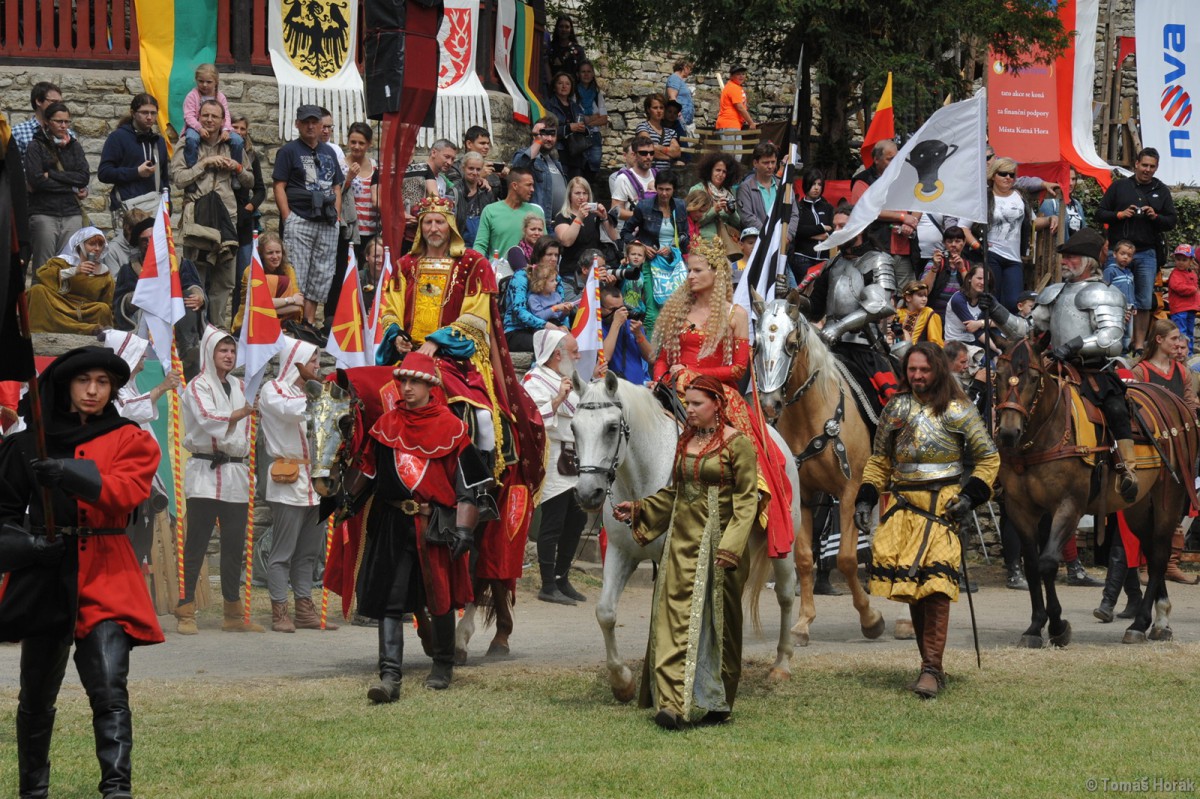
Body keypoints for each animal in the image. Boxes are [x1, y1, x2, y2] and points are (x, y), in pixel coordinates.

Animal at [572, 371, 799, 703]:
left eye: (612, 427)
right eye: (573, 428)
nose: (588, 493)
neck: (643, 475)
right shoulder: (620, 551)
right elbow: (605, 612)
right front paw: (622, 682)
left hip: (783, 543)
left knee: (785, 593)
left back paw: (781, 664)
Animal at [751, 293, 885, 645]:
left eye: (791, 343)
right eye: (756, 344)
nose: (769, 404)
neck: (813, 416)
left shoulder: (851, 491)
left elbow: (847, 560)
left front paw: (871, 619)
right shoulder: (804, 497)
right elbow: (804, 559)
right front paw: (802, 624)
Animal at [994, 338, 1200, 646]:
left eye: (1032, 378)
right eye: (997, 375)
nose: (1008, 433)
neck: (1044, 434)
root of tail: (1177, 402)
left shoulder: (1068, 506)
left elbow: (1047, 562)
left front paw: (1057, 627)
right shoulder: (1022, 510)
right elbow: (1031, 566)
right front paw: (1035, 627)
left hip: (1169, 499)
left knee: (1160, 555)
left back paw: (1140, 623)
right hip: (1138, 507)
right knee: (1152, 550)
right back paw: (1159, 621)